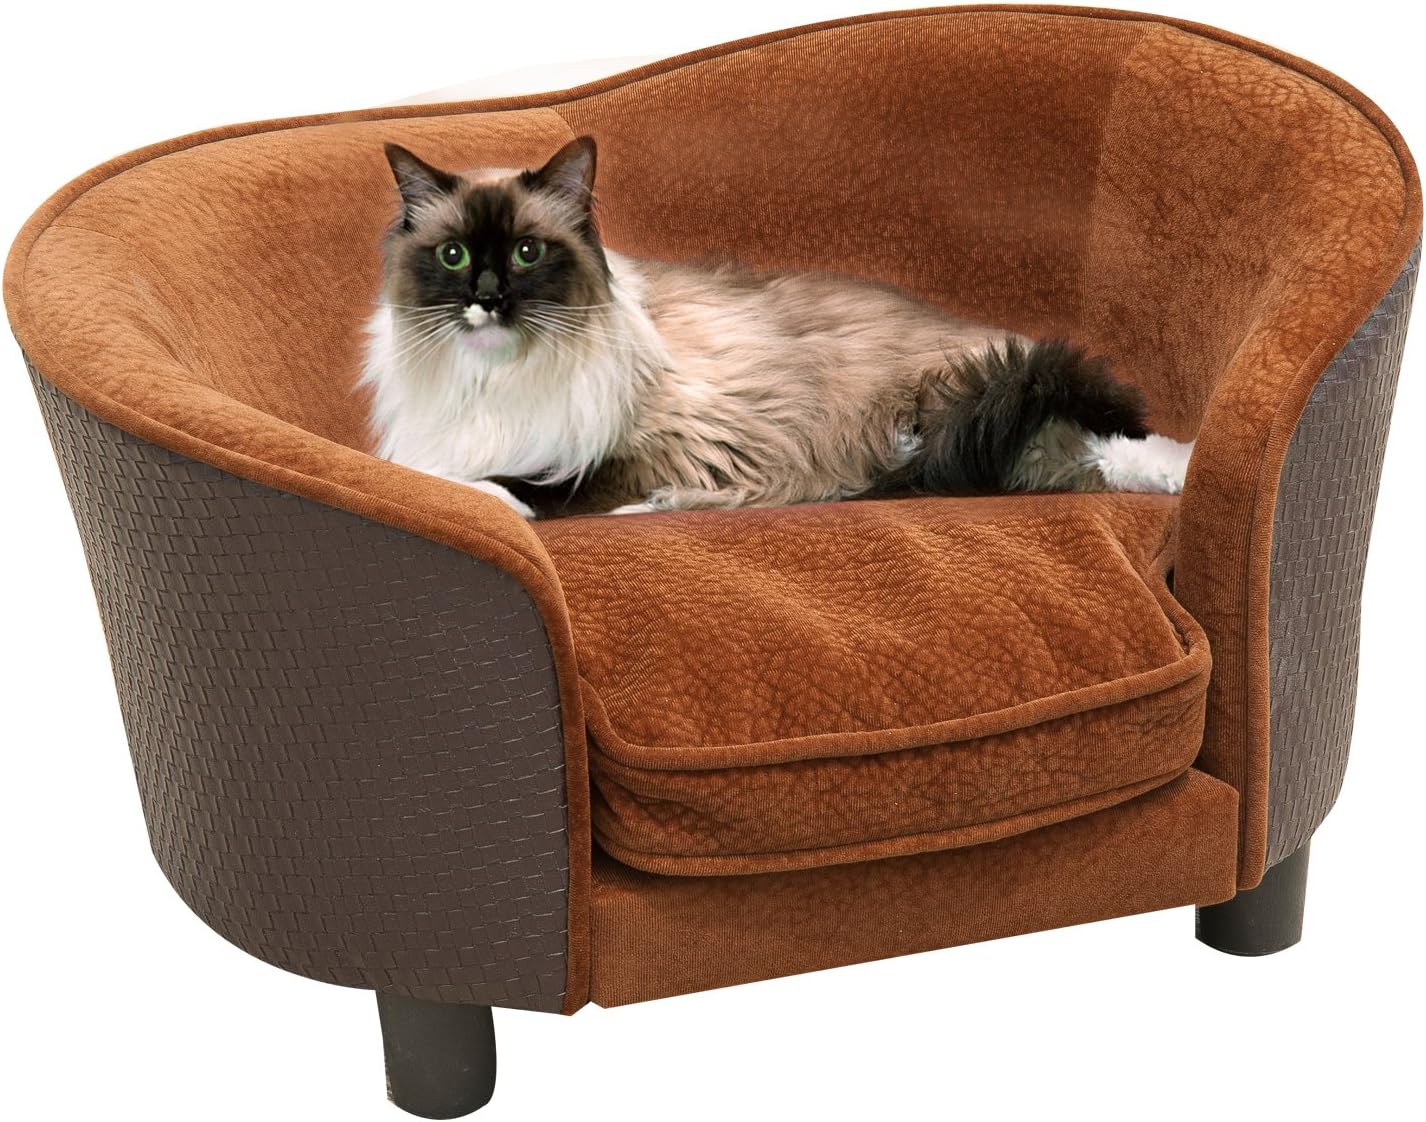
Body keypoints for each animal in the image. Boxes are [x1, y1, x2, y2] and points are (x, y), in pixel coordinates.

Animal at [361, 137, 1192, 519]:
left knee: (1121, 448)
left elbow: (511, 483)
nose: (488, 298)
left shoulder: (647, 452)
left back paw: (1181, 477)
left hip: (943, 415)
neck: (497, 378)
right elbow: (427, 472)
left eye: (527, 253)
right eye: (454, 255)